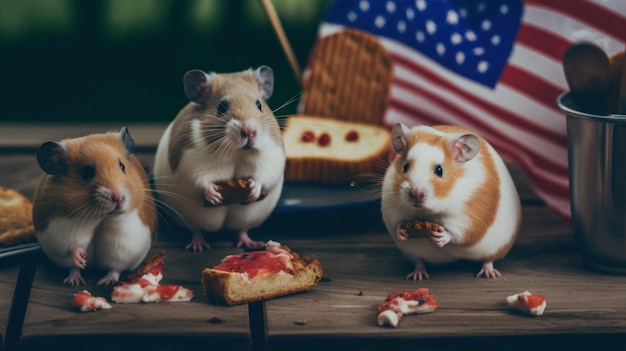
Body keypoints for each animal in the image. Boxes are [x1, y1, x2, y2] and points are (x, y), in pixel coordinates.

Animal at [33, 126, 157, 286]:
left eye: (122, 166)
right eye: (87, 171)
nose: (118, 197)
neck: (100, 218)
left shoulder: (125, 237)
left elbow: (116, 262)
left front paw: (103, 282)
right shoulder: (62, 231)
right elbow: (73, 247)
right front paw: (81, 259)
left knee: (115, 268)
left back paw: (105, 281)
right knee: (72, 267)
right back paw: (73, 281)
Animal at [154, 66, 286, 253]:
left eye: (259, 105)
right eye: (222, 106)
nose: (250, 131)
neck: (237, 152)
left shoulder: (271, 158)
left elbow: (262, 177)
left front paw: (253, 191)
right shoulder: (190, 163)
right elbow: (201, 180)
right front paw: (215, 197)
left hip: (248, 218)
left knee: (241, 230)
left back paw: (250, 244)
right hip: (190, 218)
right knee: (196, 230)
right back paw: (198, 246)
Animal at [380, 123, 520, 280]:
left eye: (439, 170)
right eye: (405, 166)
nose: (416, 194)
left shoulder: (468, 217)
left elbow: (454, 233)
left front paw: (440, 237)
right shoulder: (392, 209)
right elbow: (396, 225)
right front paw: (402, 232)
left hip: (495, 247)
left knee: (489, 259)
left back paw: (489, 274)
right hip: (412, 252)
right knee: (419, 260)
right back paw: (417, 276)